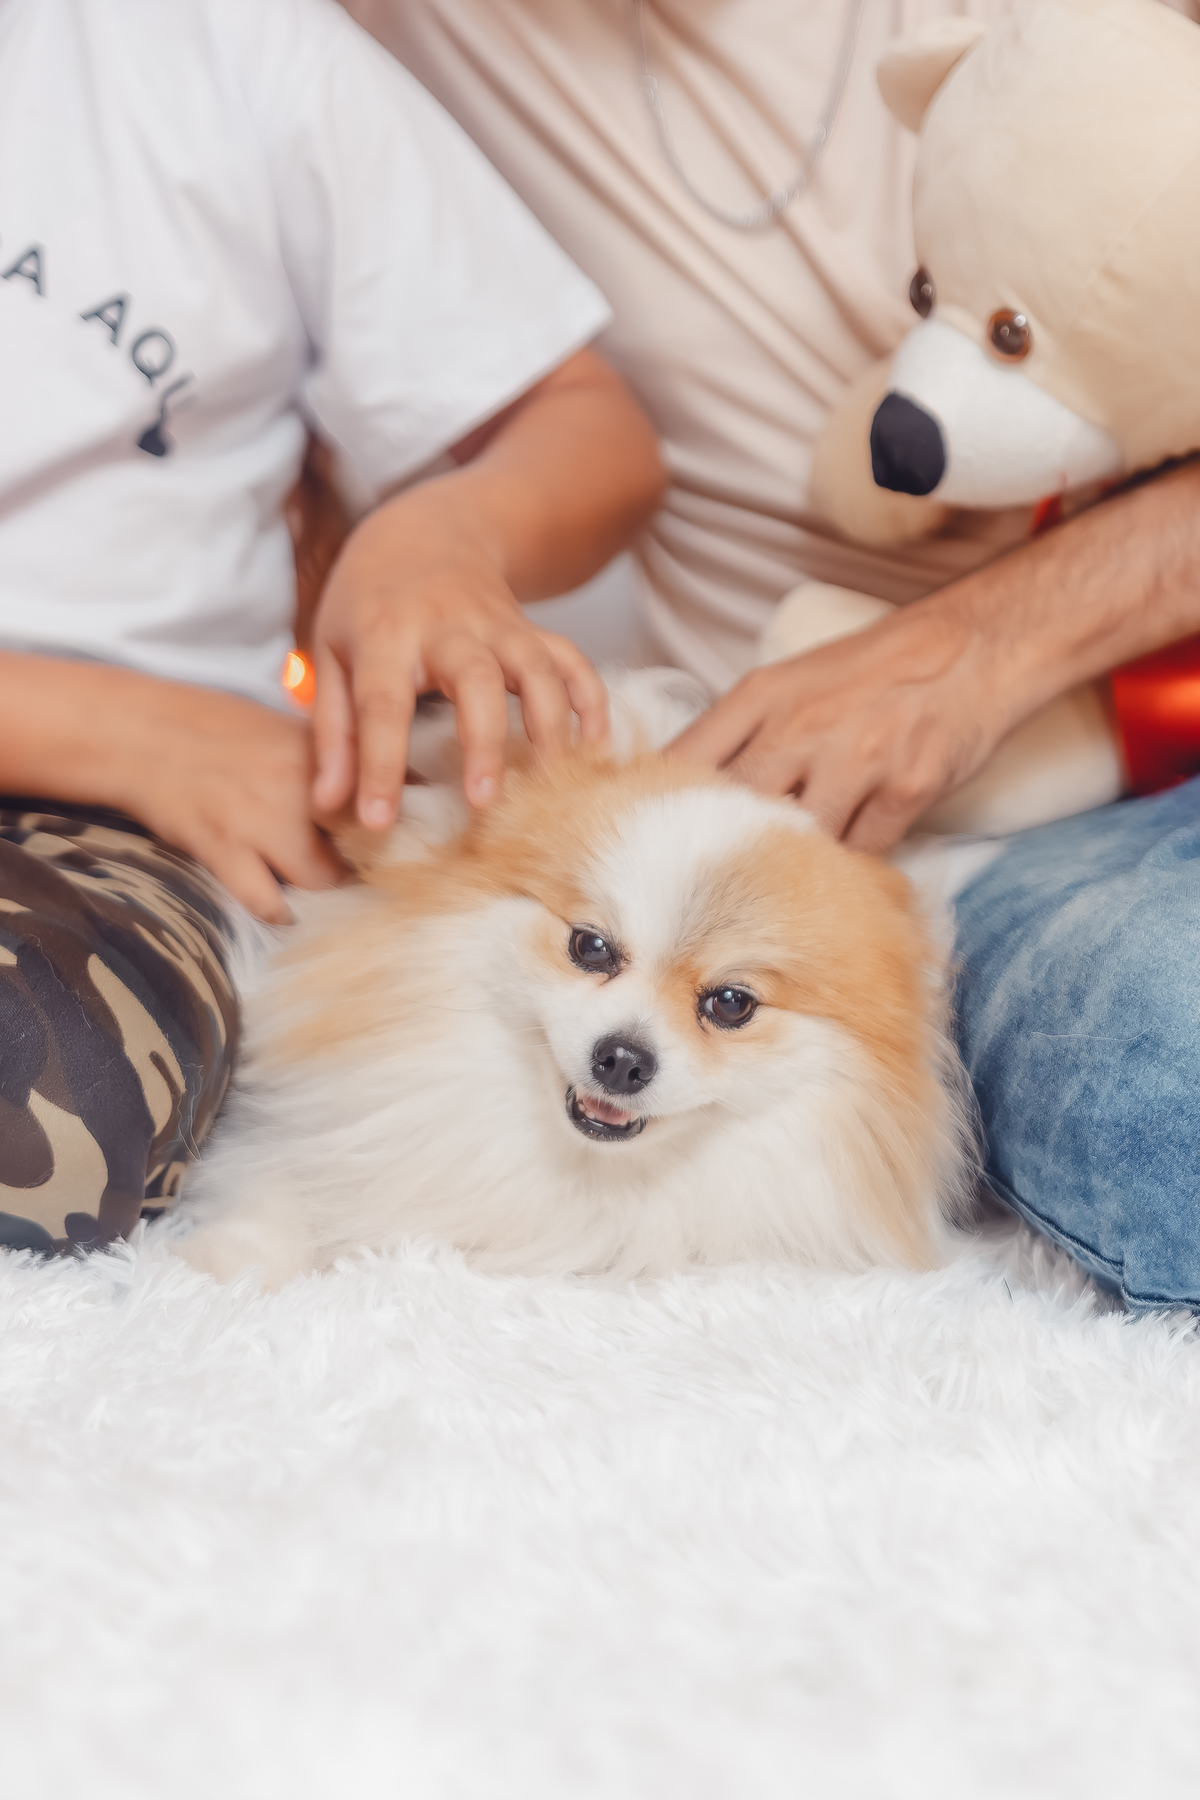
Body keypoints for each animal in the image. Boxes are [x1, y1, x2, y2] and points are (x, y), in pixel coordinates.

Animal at [176, 675, 974, 1286]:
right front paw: (241, 1261)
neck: (581, 1171)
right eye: (590, 947)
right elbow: (280, 1177)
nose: (620, 1059)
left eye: (731, 1004)